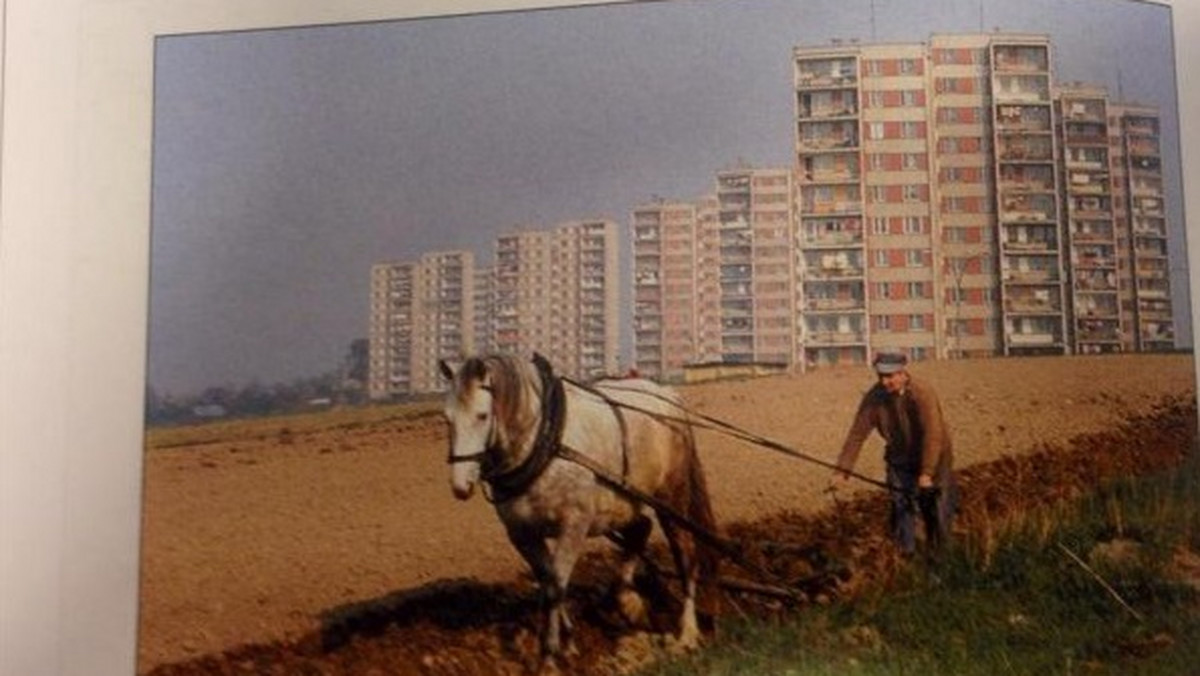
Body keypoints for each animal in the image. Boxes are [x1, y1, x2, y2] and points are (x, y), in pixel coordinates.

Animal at [444, 355, 715, 667]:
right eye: (447, 418)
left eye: (482, 415)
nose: (460, 486)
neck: (545, 442)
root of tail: (668, 395)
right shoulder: (522, 534)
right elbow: (548, 581)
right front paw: (569, 642)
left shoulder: (574, 524)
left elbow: (556, 585)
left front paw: (549, 654)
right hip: (621, 501)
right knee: (641, 529)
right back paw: (625, 599)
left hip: (671, 498)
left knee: (685, 556)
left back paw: (687, 632)